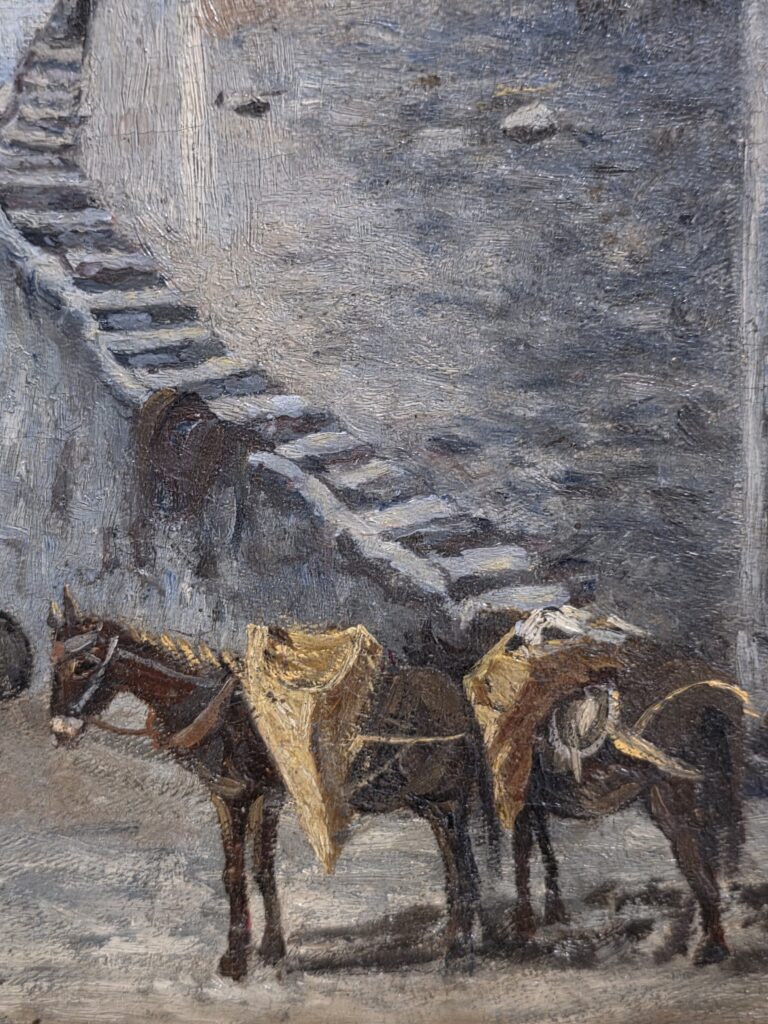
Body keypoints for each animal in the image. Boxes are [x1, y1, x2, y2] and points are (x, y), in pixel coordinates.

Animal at [48, 588, 496, 979]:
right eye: (53, 667)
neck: (223, 713)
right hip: (432, 805)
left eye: (85, 665)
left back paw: (459, 952)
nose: (60, 730)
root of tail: (458, 696)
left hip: (450, 802)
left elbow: (254, 871)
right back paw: (462, 940)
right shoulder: (233, 795)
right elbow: (241, 872)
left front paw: (254, 954)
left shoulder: (260, 796)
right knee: (457, 868)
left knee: (465, 867)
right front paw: (250, 952)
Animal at [506, 643, 749, 966]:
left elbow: (523, 856)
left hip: (674, 803)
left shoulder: (518, 797)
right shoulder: (532, 800)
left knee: (698, 864)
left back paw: (710, 945)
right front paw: (552, 914)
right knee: (709, 854)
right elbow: (543, 850)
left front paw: (525, 929)